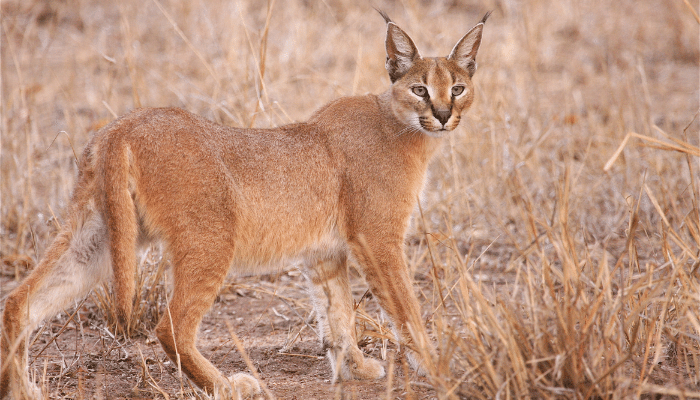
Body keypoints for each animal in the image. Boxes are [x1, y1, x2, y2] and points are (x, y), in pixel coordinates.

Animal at [2, 10, 490, 398]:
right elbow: (406, 308)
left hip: (96, 237)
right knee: (171, 325)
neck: (404, 128)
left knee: (19, 301)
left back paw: (23, 389)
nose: (444, 114)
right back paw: (227, 385)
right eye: (421, 90)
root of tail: (124, 125)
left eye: (458, 88)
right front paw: (438, 365)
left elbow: (338, 312)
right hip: (212, 238)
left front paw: (354, 368)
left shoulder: (325, 253)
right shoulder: (378, 238)